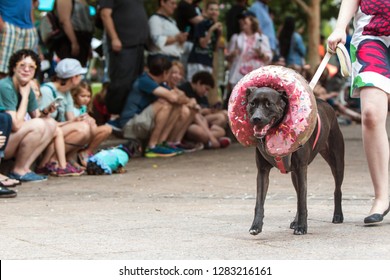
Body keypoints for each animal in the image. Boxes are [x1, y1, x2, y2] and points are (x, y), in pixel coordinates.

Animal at [247, 86, 344, 235]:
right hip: (294, 175)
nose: (256, 118)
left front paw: (302, 227)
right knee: (299, 193)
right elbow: (259, 202)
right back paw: (295, 220)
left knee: (337, 189)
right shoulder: (262, 171)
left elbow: (302, 201)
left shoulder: (301, 168)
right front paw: (256, 226)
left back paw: (338, 215)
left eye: (269, 104)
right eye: (252, 103)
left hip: (337, 161)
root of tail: (325, 102)